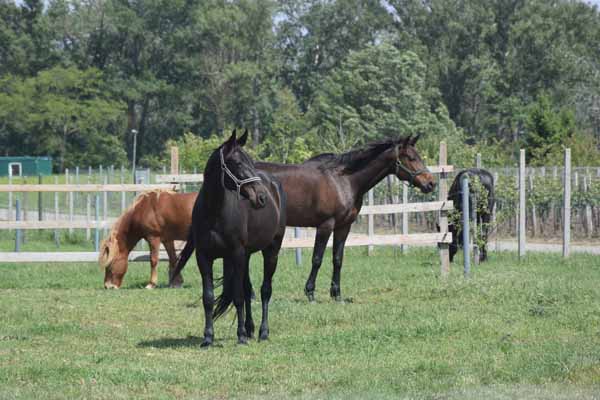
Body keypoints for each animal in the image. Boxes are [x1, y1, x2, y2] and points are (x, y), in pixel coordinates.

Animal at [170, 130, 288, 346]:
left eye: (250, 162)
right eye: (237, 163)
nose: (261, 197)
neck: (214, 211)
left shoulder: (236, 253)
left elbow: (238, 296)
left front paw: (240, 336)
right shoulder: (205, 257)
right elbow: (209, 297)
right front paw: (208, 337)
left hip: (271, 250)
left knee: (265, 290)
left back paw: (262, 332)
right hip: (247, 255)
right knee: (248, 288)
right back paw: (250, 328)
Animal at [255, 134, 434, 300]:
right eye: (411, 158)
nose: (431, 183)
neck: (344, 180)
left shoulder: (343, 226)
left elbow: (338, 259)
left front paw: (336, 294)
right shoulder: (325, 225)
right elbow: (317, 259)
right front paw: (310, 292)